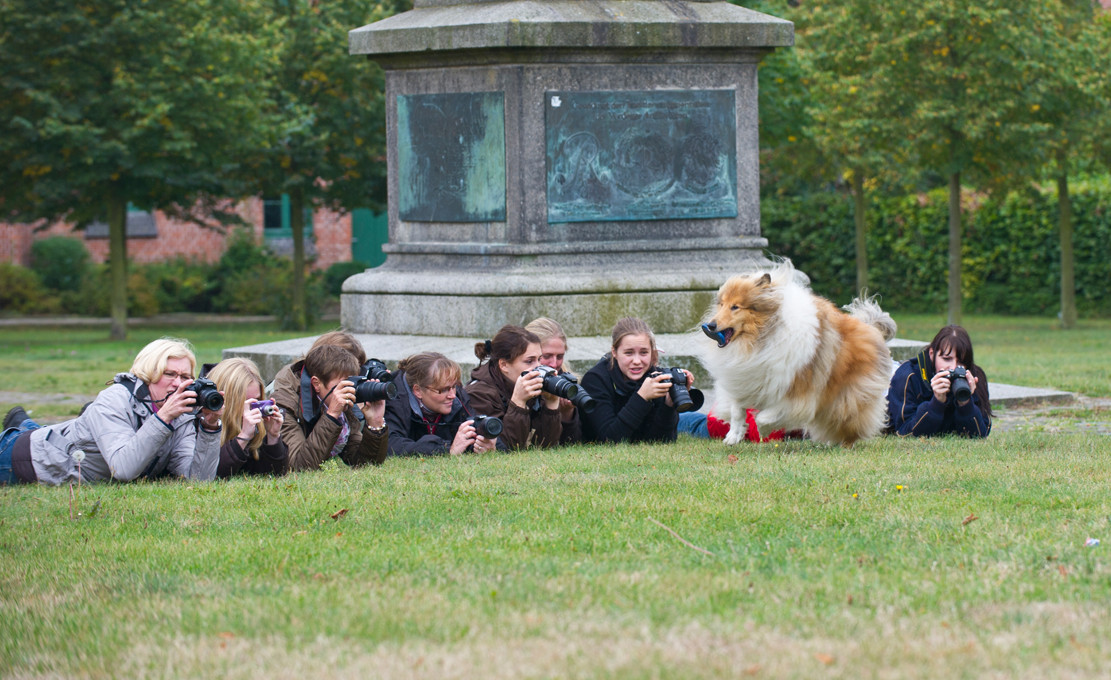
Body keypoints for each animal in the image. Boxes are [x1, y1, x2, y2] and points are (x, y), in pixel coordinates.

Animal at [697, 260, 897, 446]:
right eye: (721, 304)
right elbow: (737, 410)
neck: (763, 336)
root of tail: (872, 329)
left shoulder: (796, 390)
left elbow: (767, 415)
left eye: (735, 307)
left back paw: (843, 443)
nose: (711, 325)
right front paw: (733, 436)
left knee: (850, 424)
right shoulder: (745, 379)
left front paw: (763, 429)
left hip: (847, 399)